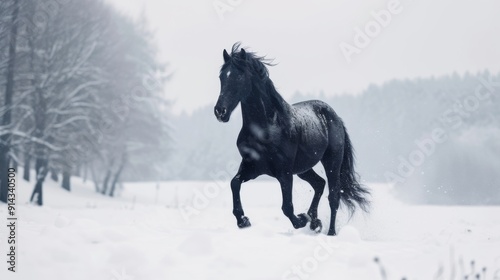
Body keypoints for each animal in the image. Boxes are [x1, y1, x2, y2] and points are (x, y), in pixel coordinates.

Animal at [213, 43, 370, 236]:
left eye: (239, 76)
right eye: (221, 76)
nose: (220, 111)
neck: (266, 128)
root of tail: (336, 118)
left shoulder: (284, 172)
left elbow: (287, 207)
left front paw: (301, 220)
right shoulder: (252, 167)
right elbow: (234, 183)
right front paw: (243, 220)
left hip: (332, 162)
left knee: (334, 195)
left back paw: (329, 231)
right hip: (303, 168)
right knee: (319, 184)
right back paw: (315, 221)